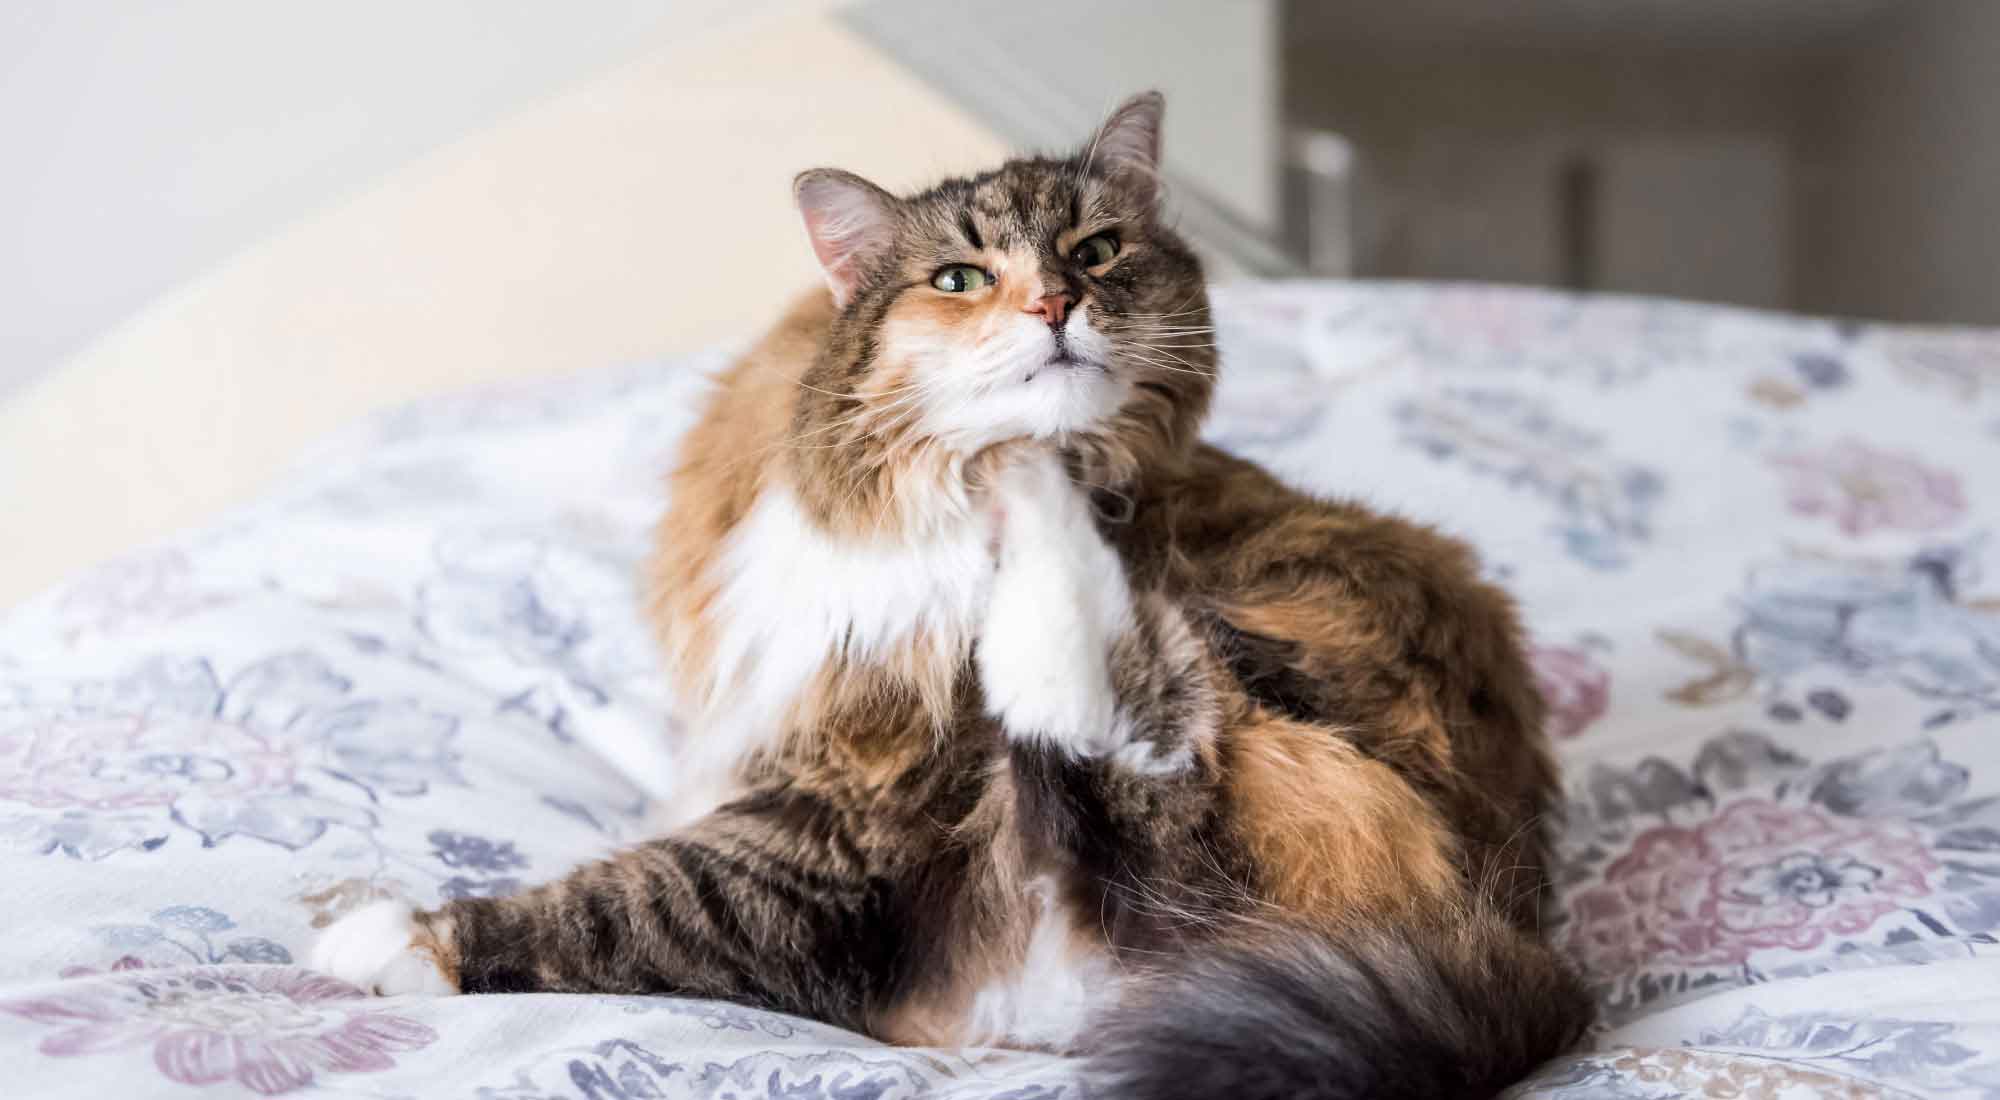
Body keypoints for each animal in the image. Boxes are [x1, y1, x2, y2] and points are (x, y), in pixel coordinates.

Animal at [312, 90, 1592, 1096]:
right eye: (961, 277)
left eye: (1094, 249)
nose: (1054, 308)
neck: (932, 500)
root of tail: (1513, 936)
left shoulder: (849, 822)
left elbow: (637, 897)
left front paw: (377, 937)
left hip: (1265, 707)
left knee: (1129, 735)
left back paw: (1038, 506)